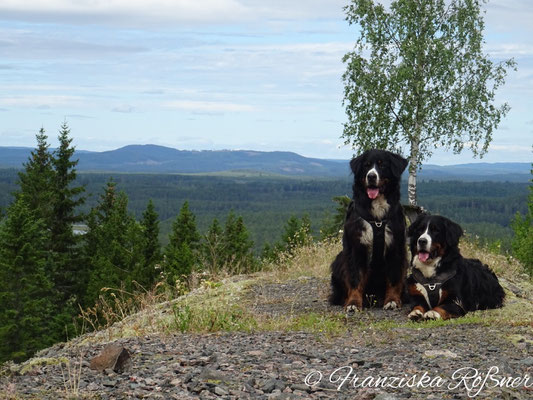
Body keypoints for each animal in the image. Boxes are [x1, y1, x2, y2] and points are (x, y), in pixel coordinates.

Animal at [328, 148, 408, 314]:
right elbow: (355, 278)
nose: (371, 176)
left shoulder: (396, 247)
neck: (377, 218)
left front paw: (392, 301)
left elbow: (394, 277)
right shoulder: (356, 247)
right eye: (366, 165)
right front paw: (353, 303)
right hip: (339, 259)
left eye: (382, 165)